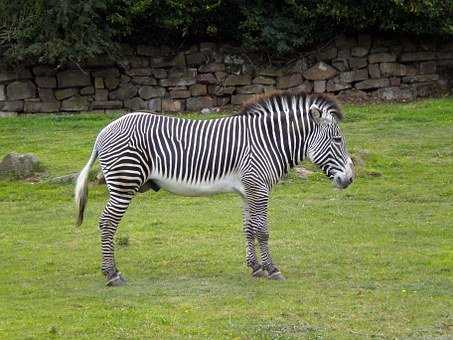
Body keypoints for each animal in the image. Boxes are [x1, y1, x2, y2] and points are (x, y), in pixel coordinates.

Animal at [76, 91, 354, 286]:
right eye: (338, 139)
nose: (350, 179)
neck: (268, 142)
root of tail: (102, 133)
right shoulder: (259, 188)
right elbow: (263, 231)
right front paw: (272, 269)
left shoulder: (248, 191)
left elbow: (248, 229)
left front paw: (255, 267)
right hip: (124, 183)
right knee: (107, 223)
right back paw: (112, 274)